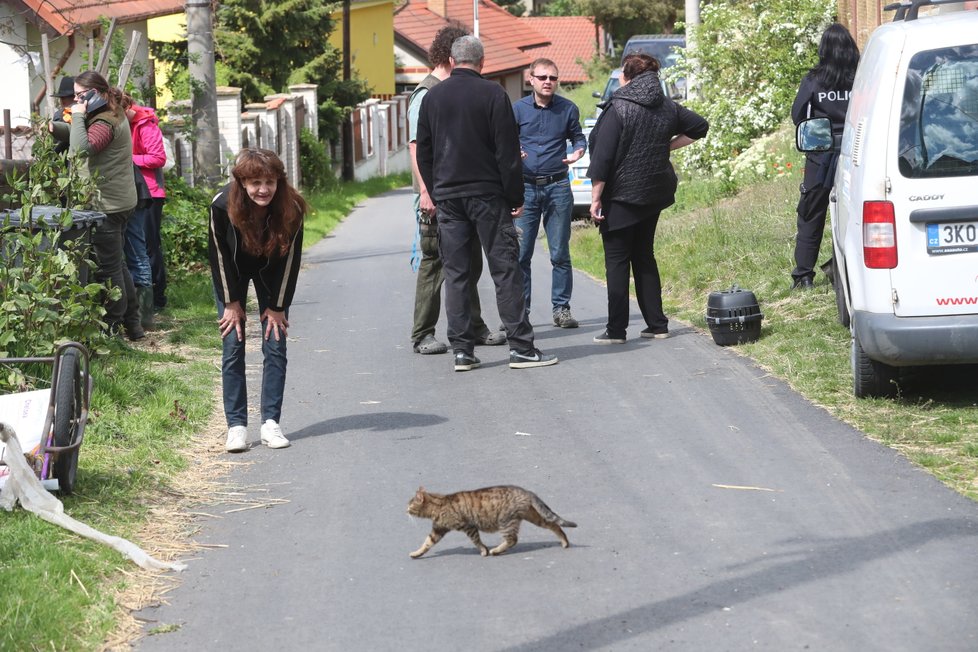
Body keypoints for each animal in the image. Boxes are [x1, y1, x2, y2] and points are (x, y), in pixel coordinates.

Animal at [402, 486, 576, 556]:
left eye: (410, 504)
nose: (405, 510)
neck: (438, 505)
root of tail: (526, 491)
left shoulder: (468, 526)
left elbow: (476, 541)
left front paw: (484, 550)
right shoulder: (438, 530)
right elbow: (426, 543)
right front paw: (416, 553)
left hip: (506, 521)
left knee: (512, 539)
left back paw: (496, 550)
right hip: (533, 516)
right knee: (554, 524)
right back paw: (564, 542)